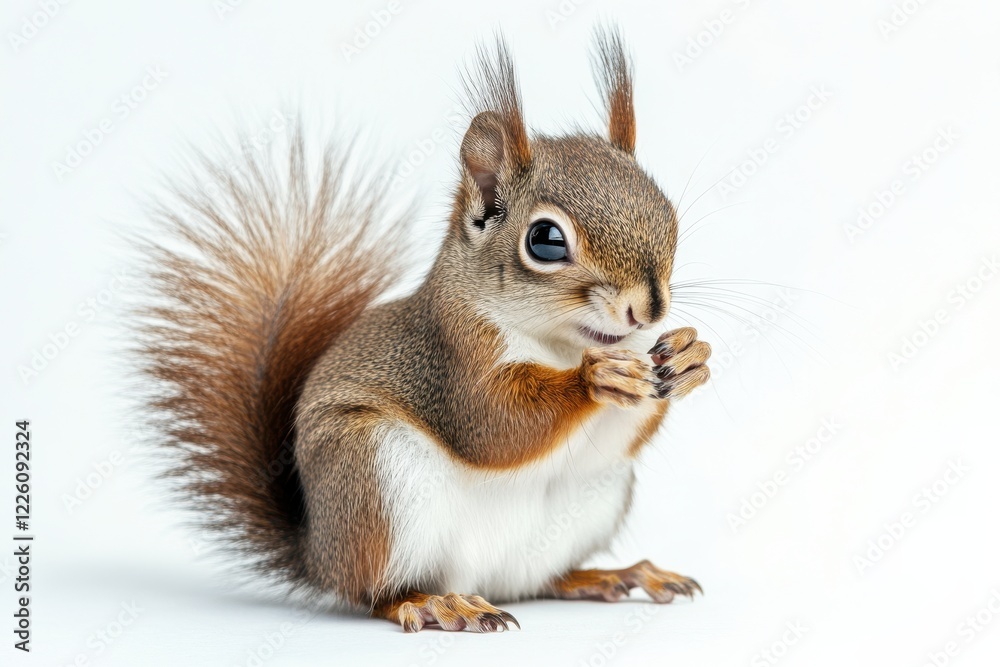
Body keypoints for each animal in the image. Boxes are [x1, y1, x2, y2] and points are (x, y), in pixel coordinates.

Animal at [136, 27, 712, 633]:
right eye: (546, 241)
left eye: (665, 210)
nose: (648, 309)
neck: (561, 342)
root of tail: (320, 552)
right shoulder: (451, 358)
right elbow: (493, 423)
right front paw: (595, 378)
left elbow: (614, 435)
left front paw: (690, 356)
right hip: (374, 478)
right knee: (374, 592)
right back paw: (434, 603)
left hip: (590, 504)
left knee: (545, 579)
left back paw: (614, 575)